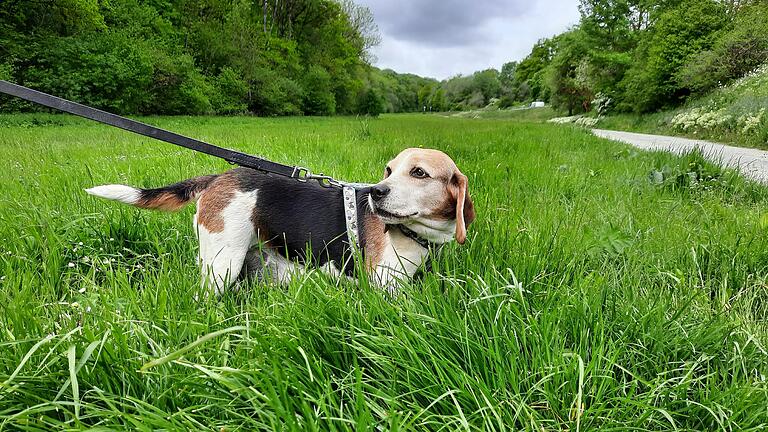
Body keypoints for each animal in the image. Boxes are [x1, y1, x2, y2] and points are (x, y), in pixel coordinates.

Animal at [85, 148, 474, 294]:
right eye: (389, 171)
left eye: (419, 173)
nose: (376, 193)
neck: (412, 232)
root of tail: (218, 178)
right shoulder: (385, 288)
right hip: (223, 263)